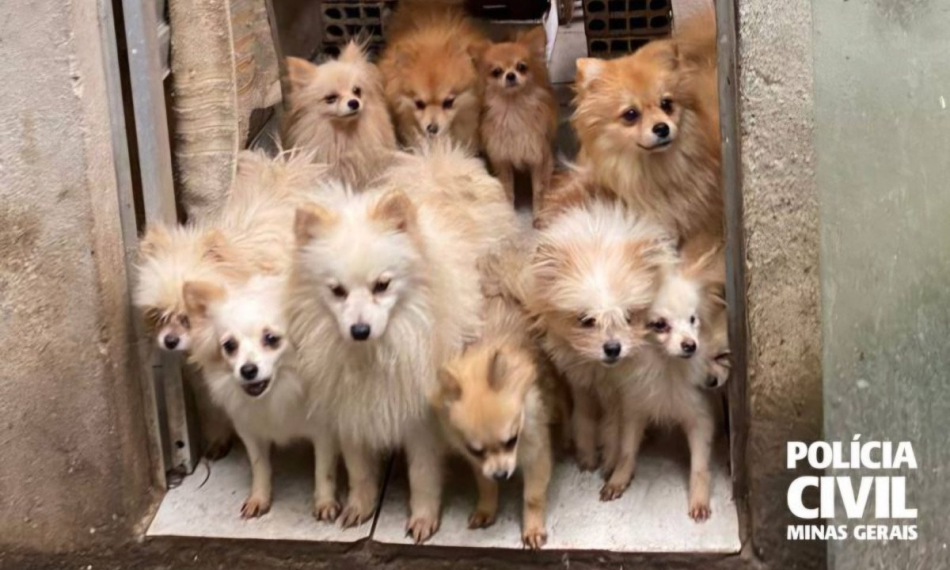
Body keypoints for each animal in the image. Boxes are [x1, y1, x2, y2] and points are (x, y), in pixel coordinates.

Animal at [183, 275, 339, 521]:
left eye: (271, 338)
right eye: (229, 345)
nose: (247, 370)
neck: (280, 391)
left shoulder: (324, 432)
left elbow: (323, 470)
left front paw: (325, 502)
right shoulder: (250, 431)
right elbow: (260, 467)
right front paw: (259, 499)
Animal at [289, 142, 517, 543]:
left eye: (382, 285)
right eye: (337, 291)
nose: (359, 329)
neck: (375, 353)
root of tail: (440, 164)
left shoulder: (422, 418)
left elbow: (423, 476)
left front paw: (424, 519)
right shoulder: (351, 411)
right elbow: (360, 470)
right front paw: (359, 508)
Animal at [477, 27, 557, 212]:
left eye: (521, 67)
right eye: (496, 72)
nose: (510, 75)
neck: (513, 109)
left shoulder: (539, 158)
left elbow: (538, 190)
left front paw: (538, 214)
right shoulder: (503, 160)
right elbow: (507, 190)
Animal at [527, 201, 677, 491]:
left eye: (629, 317)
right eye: (586, 320)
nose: (613, 348)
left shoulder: (621, 392)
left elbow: (614, 427)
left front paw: (610, 461)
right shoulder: (580, 381)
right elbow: (584, 416)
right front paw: (585, 454)